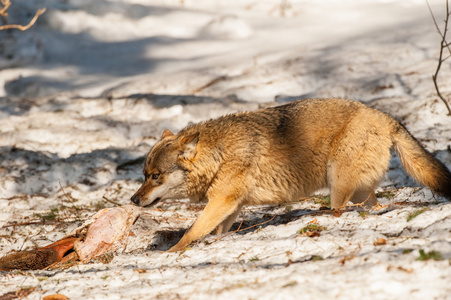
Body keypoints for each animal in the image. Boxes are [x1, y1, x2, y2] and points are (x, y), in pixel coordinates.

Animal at [130, 98, 451, 251]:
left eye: (155, 176)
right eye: (144, 174)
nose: (133, 200)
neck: (219, 155)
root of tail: (386, 117)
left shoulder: (222, 202)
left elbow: (191, 232)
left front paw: (169, 254)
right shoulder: (231, 206)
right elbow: (216, 232)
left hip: (337, 188)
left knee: (341, 210)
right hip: (359, 192)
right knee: (373, 205)